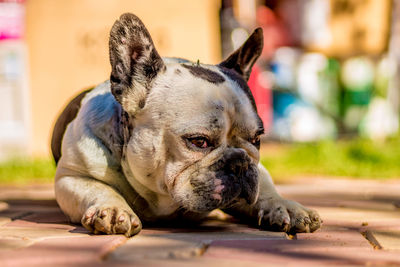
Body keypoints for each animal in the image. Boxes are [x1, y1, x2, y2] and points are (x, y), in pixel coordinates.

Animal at [51, 13, 322, 238]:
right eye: (198, 141)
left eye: (257, 140)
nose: (240, 162)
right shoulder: (72, 176)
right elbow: (99, 189)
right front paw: (114, 209)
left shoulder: (258, 173)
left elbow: (265, 187)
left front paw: (285, 206)